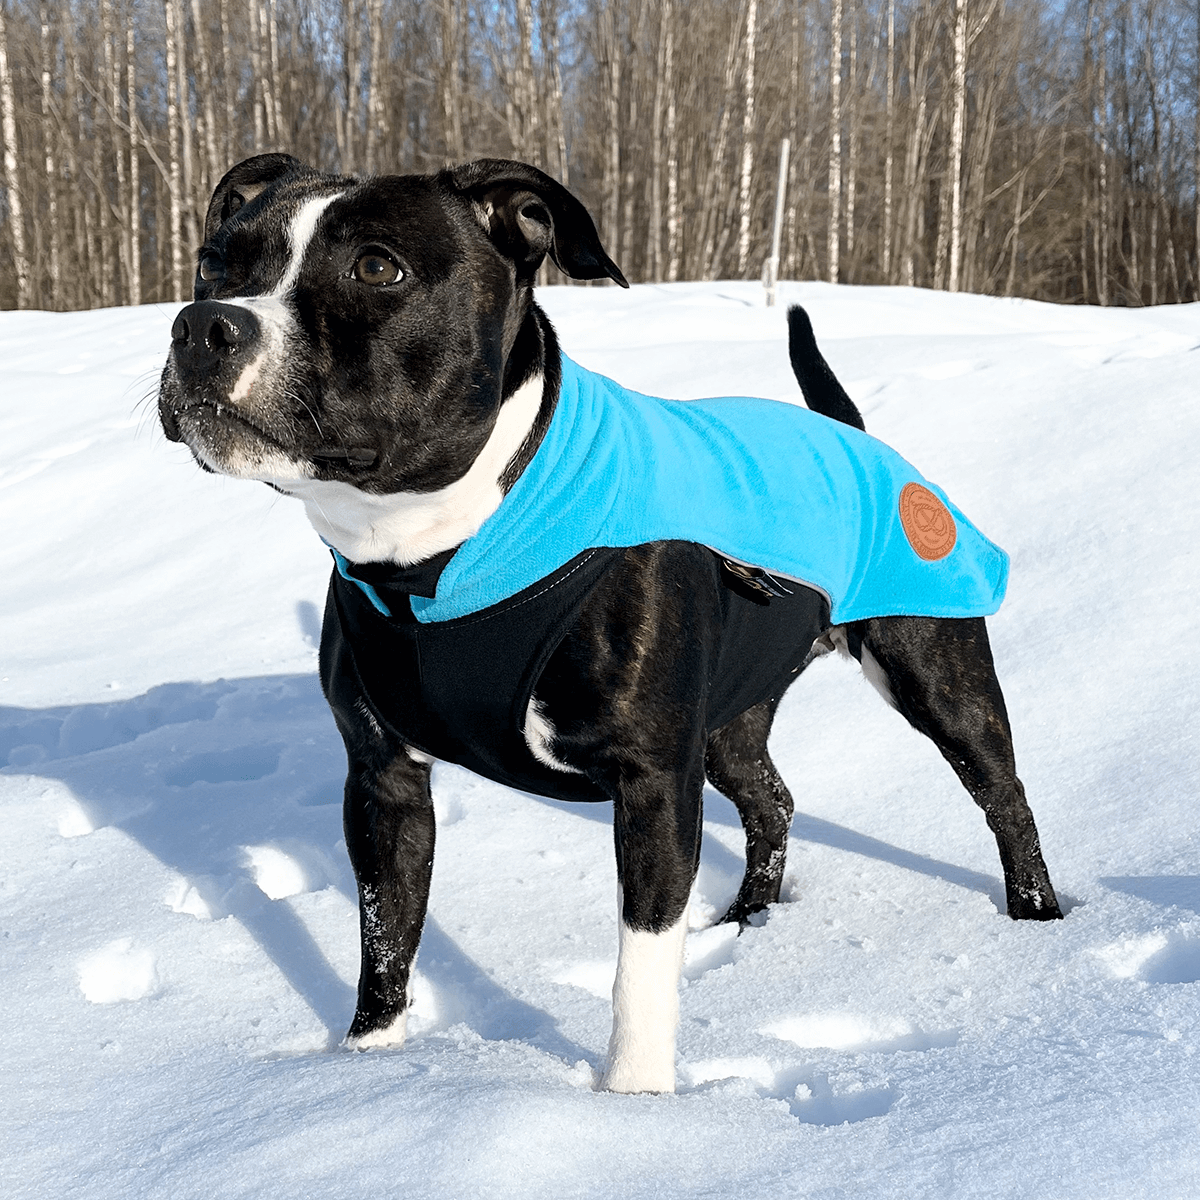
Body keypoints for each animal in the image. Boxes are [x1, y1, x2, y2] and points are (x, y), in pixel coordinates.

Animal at [157, 152, 1060, 1099]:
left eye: (377, 267)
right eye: (216, 260)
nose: (203, 325)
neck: (434, 554)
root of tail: (853, 437)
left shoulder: (653, 782)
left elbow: (641, 968)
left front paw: (633, 1104)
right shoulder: (383, 782)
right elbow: (384, 937)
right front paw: (368, 1065)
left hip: (935, 672)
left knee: (1005, 796)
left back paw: (1035, 917)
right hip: (730, 725)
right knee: (772, 800)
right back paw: (748, 919)